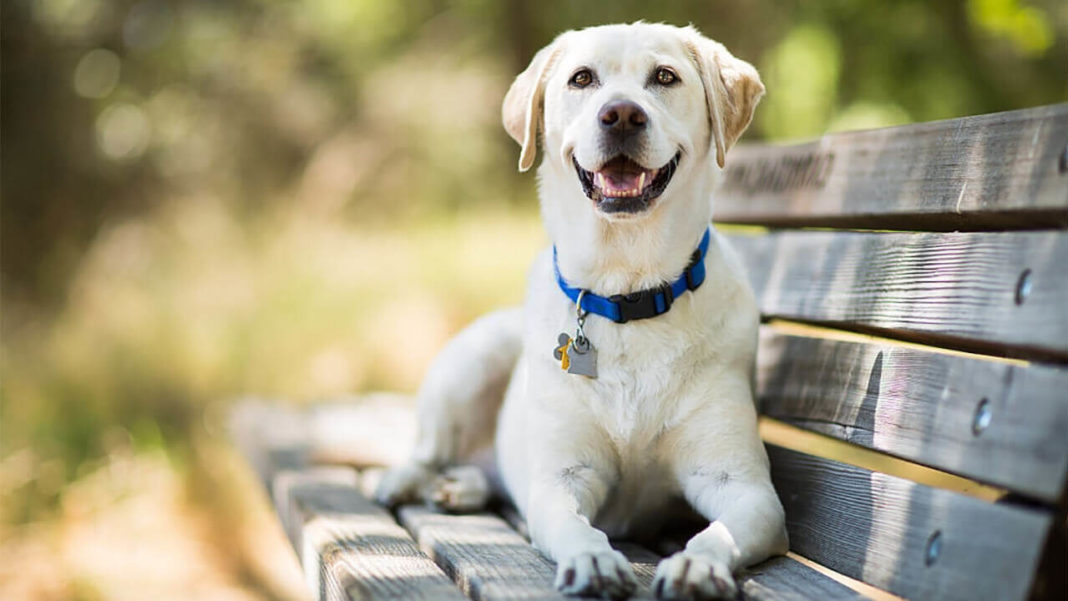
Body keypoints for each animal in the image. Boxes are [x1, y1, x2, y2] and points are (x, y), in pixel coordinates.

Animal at [373, 21, 786, 597]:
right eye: (582, 79)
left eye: (665, 77)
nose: (622, 115)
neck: (627, 292)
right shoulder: (560, 480)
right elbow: (574, 525)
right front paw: (593, 560)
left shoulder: (746, 488)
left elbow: (717, 532)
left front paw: (696, 565)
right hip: (471, 360)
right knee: (428, 450)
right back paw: (405, 480)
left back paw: (462, 487)